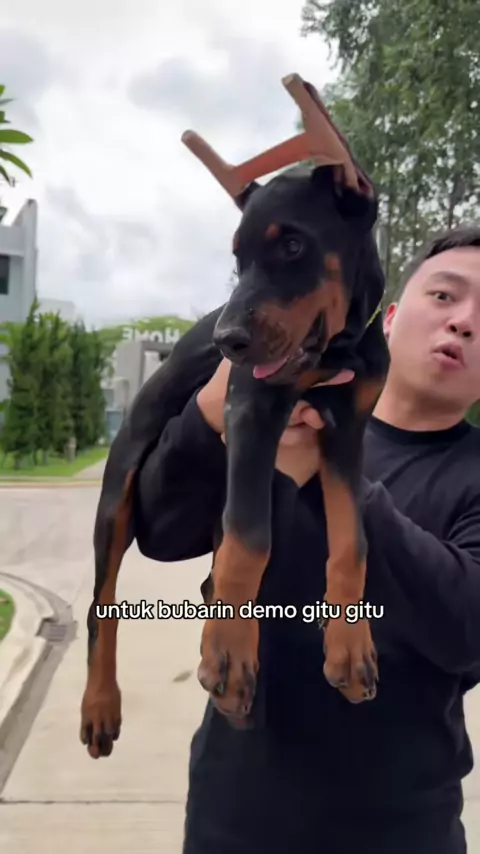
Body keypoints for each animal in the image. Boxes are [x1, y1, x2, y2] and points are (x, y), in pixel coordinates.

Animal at [80, 74, 390, 759]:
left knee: (210, 575)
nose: (226, 343)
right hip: (119, 495)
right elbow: (251, 538)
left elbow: (350, 542)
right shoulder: (250, 409)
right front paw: (229, 650)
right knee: (102, 603)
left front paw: (350, 648)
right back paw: (106, 704)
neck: (340, 351)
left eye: (294, 244)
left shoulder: (346, 437)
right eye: (238, 259)